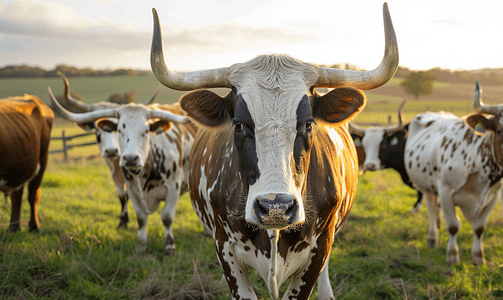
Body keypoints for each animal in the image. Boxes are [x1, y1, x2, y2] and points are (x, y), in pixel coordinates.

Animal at [0, 95, 54, 233]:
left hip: (42, 161)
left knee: (32, 196)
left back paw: (34, 227)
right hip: (19, 169)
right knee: (17, 196)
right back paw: (13, 229)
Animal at [47, 86, 197, 255]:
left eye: (146, 131)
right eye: (119, 130)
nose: (130, 158)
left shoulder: (173, 187)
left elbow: (167, 217)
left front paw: (169, 246)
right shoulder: (130, 188)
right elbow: (140, 216)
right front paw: (140, 245)